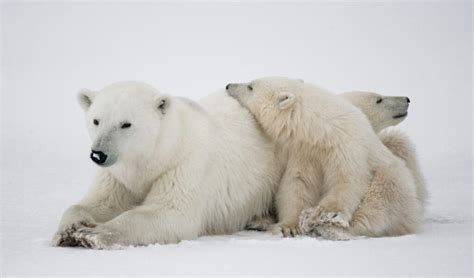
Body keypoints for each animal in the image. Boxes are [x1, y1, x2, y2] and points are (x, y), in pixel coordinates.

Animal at [52, 81, 284, 249]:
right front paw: (69, 230)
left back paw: (261, 220)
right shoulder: (117, 176)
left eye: (126, 124)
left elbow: (170, 213)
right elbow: (101, 202)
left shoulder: (185, 164)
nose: (98, 154)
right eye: (96, 121)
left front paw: (91, 233)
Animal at [226, 77, 422, 240]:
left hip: (397, 180)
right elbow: (298, 184)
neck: (324, 131)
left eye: (250, 86)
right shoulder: (305, 151)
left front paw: (324, 215)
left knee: (382, 197)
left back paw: (334, 229)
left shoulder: (348, 146)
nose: (228, 86)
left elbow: (347, 181)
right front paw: (288, 227)